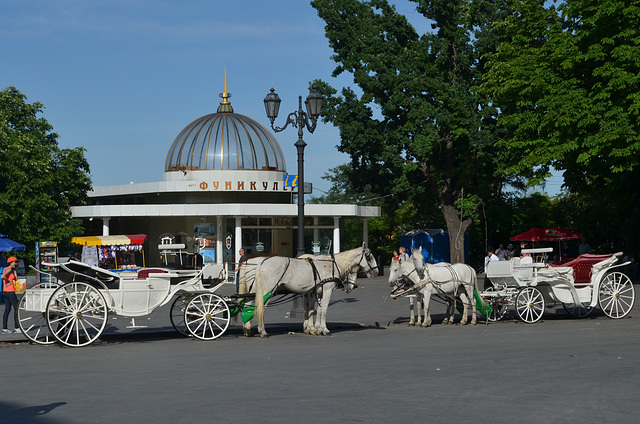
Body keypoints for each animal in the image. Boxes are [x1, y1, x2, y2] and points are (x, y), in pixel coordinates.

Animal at [248, 245, 378, 338]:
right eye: (369, 256)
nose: (376, 272)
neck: (333, 265)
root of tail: (262, 262)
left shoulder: (319, 292)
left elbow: (318, 310)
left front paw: (318, 329)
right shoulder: (327, 290)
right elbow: (324, 310)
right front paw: (325, 330)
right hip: (268, 291)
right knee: (261, 308)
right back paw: (262, 331)